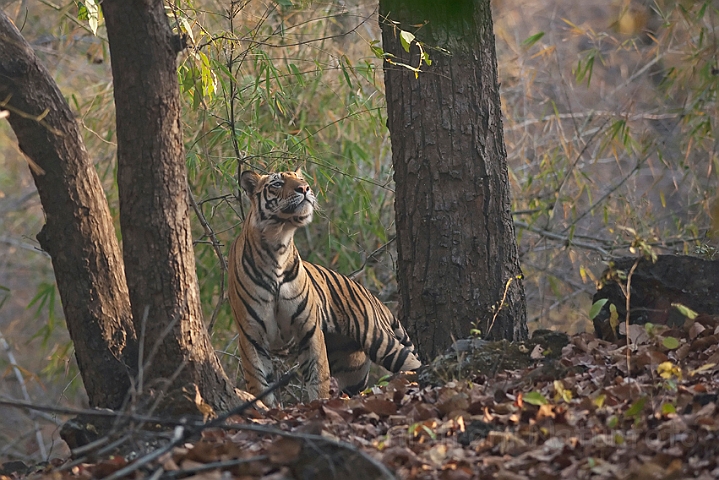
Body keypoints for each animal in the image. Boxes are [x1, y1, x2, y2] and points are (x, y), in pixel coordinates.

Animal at [228, 169, 422, 404]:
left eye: (302, 180)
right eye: (277, 183)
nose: (304, 189)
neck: (278, 244)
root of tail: (372, 297)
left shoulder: (309, 330)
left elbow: (318, 379)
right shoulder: (251, 337)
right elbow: (259, 385)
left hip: (381, 342)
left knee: (414, 365)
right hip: (352, 369)